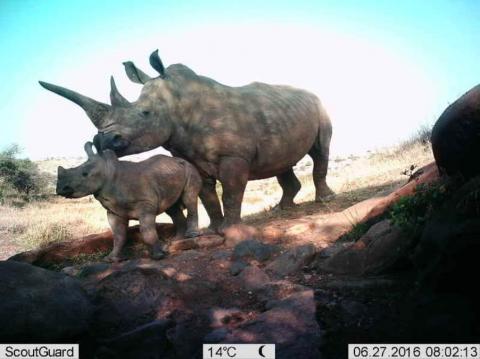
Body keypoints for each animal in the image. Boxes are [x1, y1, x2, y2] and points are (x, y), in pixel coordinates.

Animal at [56, 142, 202, 262]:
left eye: (85, 174)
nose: (61, 188)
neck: (109, 172)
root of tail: (182, 161)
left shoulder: (145, 203)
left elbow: (146, 231)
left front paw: (158, 256)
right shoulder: (113, 210)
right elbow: (118, 235)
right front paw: (111, 259)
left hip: (190, 169)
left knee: (189, 198)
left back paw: (191, 236)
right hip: (171, 175)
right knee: (172, 209)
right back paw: (175, 241)